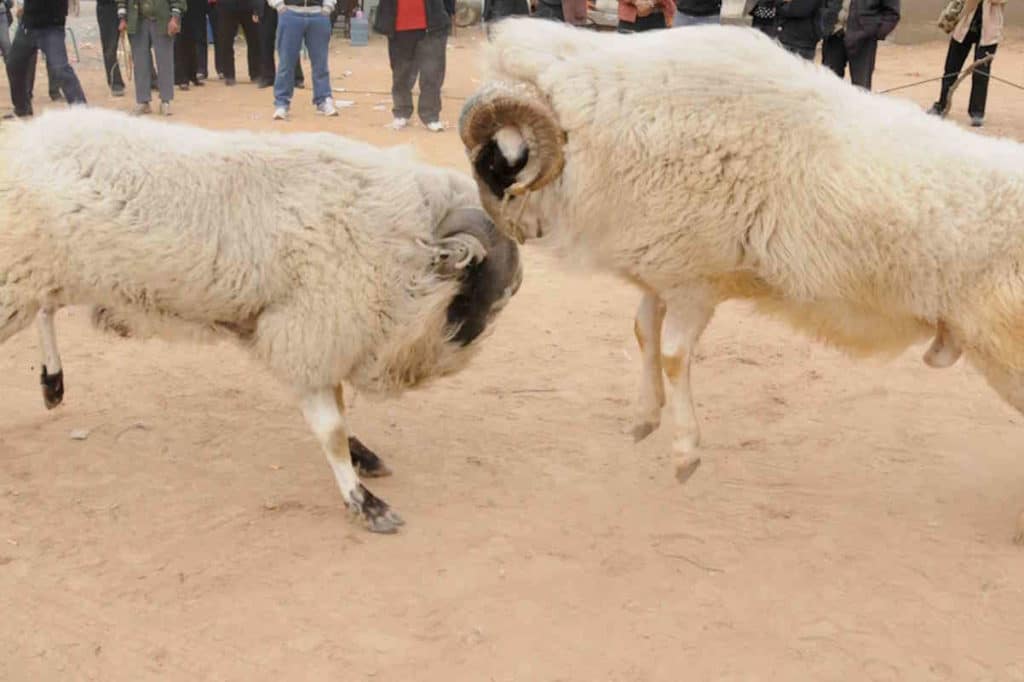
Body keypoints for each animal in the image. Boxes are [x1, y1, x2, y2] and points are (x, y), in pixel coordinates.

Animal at [0, 107, 522, 533]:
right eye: (476, 283)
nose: (467, 343)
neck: (399, 236)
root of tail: (24, 135)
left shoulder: (320, 337)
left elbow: (338, 410)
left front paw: (363, 457)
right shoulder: (307, 331)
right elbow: (330, 430)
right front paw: (364, 501)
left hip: (53, 271)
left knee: (47, 309)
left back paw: (53, 384)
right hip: (21, 274)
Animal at [457, 18, 1024, 543]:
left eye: (495, 160)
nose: (514, 233)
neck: (600, 127)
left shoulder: (695, 281)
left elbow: (673, 354)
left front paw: (685, 454)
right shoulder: (666, 272)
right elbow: (644, 332)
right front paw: (644, 419)